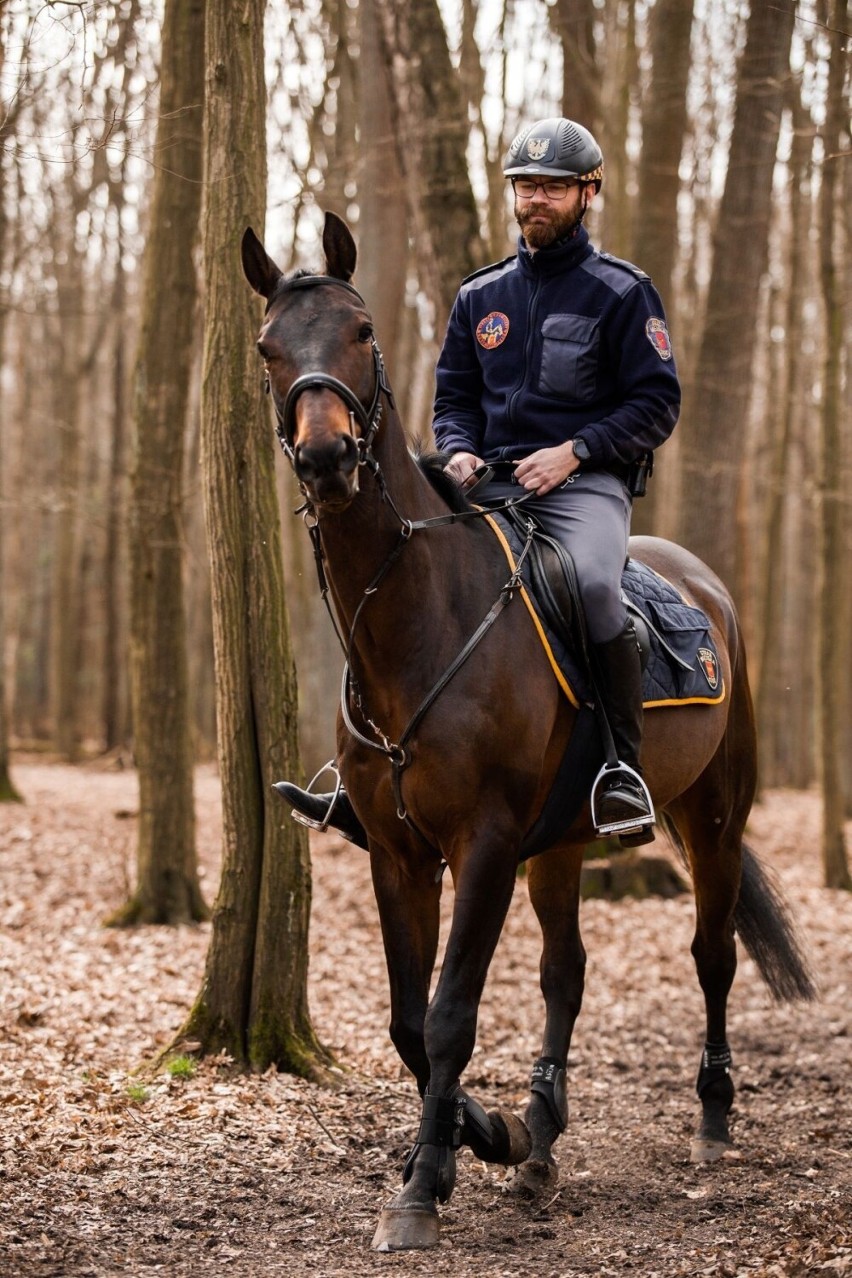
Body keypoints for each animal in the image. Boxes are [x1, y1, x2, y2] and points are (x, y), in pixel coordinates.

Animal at [242, 209, 817, 1247]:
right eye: (270, 348)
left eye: (362, 331)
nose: (326, 459)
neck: (419, 621)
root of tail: (704, 585)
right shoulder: (400, 852)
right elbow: (408, 1019)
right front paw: (486, 1137)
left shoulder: (485, 843)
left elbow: (448, 1015)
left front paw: (424, 1188)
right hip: (562, 842)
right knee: (567, 973)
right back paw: (542, 1139)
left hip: (714, 816)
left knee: (711, 955)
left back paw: (713, 1120)